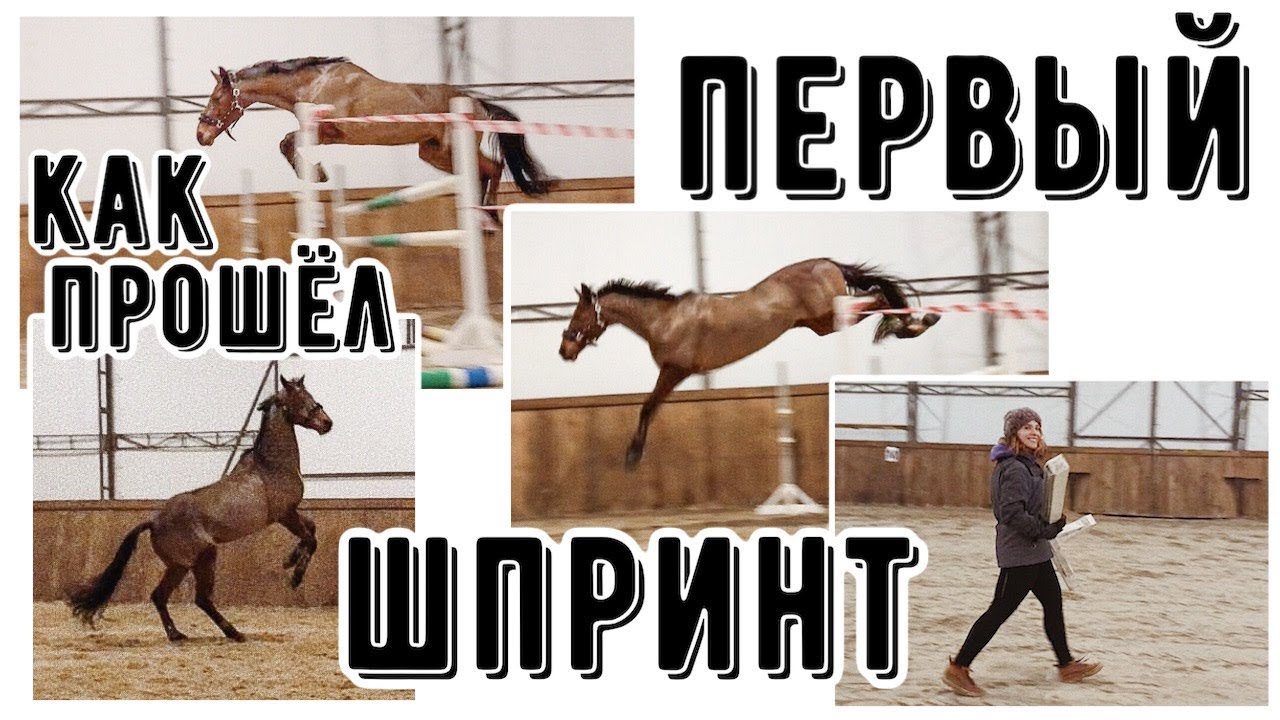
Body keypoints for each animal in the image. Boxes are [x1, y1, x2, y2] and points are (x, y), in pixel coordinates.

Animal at [67, 376, 333, 642]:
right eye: (300, 397)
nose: (327, 423)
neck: (271, 466)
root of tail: (154, 521)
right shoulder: (284, 514)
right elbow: (311, 539)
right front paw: (295, 576)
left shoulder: (291, 512)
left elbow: (312, 529)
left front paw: (289, 561)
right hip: (205, 557)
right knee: (201, 599)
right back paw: (234, 633)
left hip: (179, 566)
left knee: (159, 595)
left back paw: (177, 634)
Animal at [196, 56, 549, 206]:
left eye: (216, 98)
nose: (201, 135)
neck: (312, 83)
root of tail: (476, 102)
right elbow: (287, 142)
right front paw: (315, 173)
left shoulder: (331, 130)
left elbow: (287, 142)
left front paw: (317, 173)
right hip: (433, 152)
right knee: (483, 171)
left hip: (451, 148)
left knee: (494, 167)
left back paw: (488, 212)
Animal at [558, 258, 941, 468]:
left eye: (579, 315)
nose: (564, 350)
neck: (664, 320)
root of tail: (826, 261)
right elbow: (649, 407)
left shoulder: (674, 370)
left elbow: (648, 407)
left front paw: (632, 456)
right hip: (821, 323)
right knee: (876, 296)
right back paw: (914, 325)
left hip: (832, 314)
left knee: (876, 296)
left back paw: (916, 324)